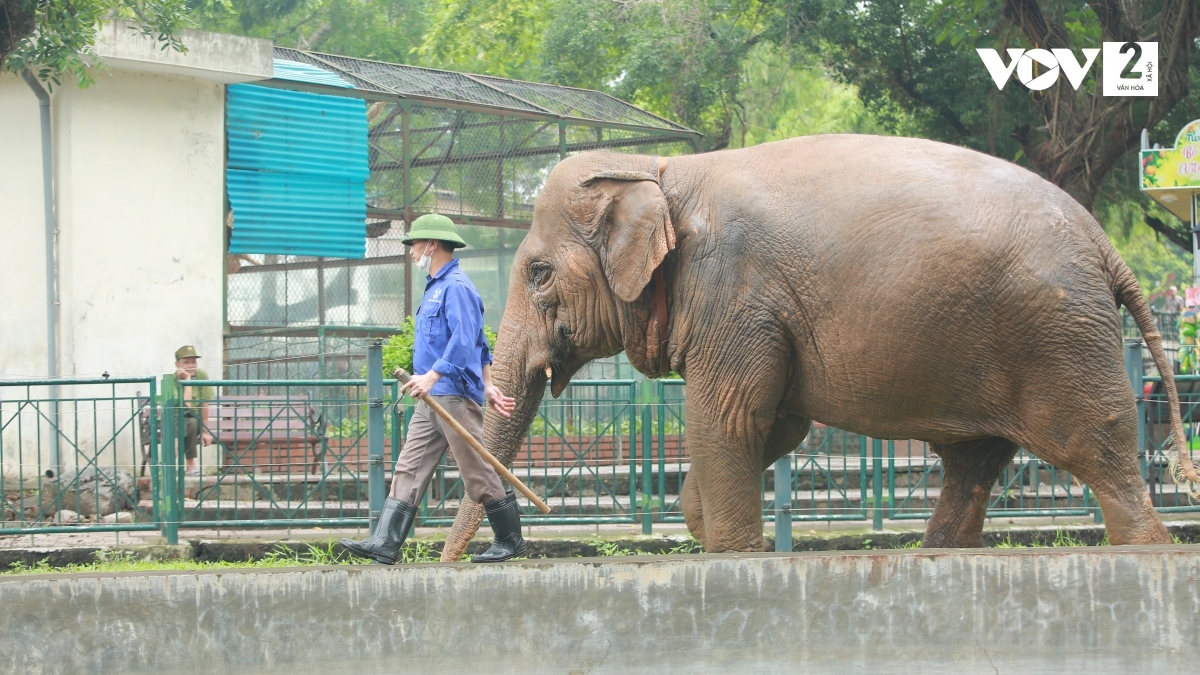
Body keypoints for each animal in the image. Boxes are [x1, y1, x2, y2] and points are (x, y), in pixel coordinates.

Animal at [436, 133, 1195, 554]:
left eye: (537, 274)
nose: (456, 561)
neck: (659, 167)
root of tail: (1107, 247)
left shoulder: (733, 289)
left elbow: (728, 418)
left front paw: (732, 555)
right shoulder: (758, 312)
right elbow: (778, 424)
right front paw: (706, 523)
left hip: (1060, 339)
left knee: (1099, 459)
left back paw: (1147, 549)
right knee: (973, 462)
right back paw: (938, 553)